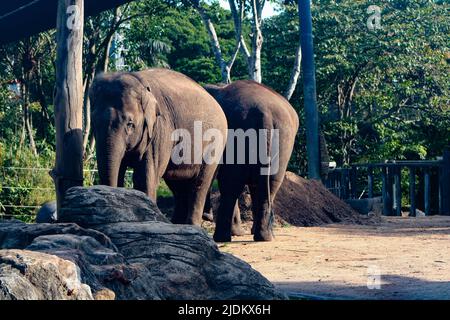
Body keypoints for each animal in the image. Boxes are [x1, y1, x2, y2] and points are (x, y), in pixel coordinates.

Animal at [89, 69, 227, 226]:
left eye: (130, 124)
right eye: (93, 123)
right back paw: (176, 224)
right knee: (178, 186)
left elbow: (143, 178)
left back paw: (191, 225)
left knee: (200, 185)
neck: (137, 79)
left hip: (215, 145)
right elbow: (120, 170)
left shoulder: (159, 131)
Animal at [204, 80, 298, 242]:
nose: (207, 216)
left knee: (234, 185)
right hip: (281, 141)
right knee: (267, 185)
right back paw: (263, 236)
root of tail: (264, 113)